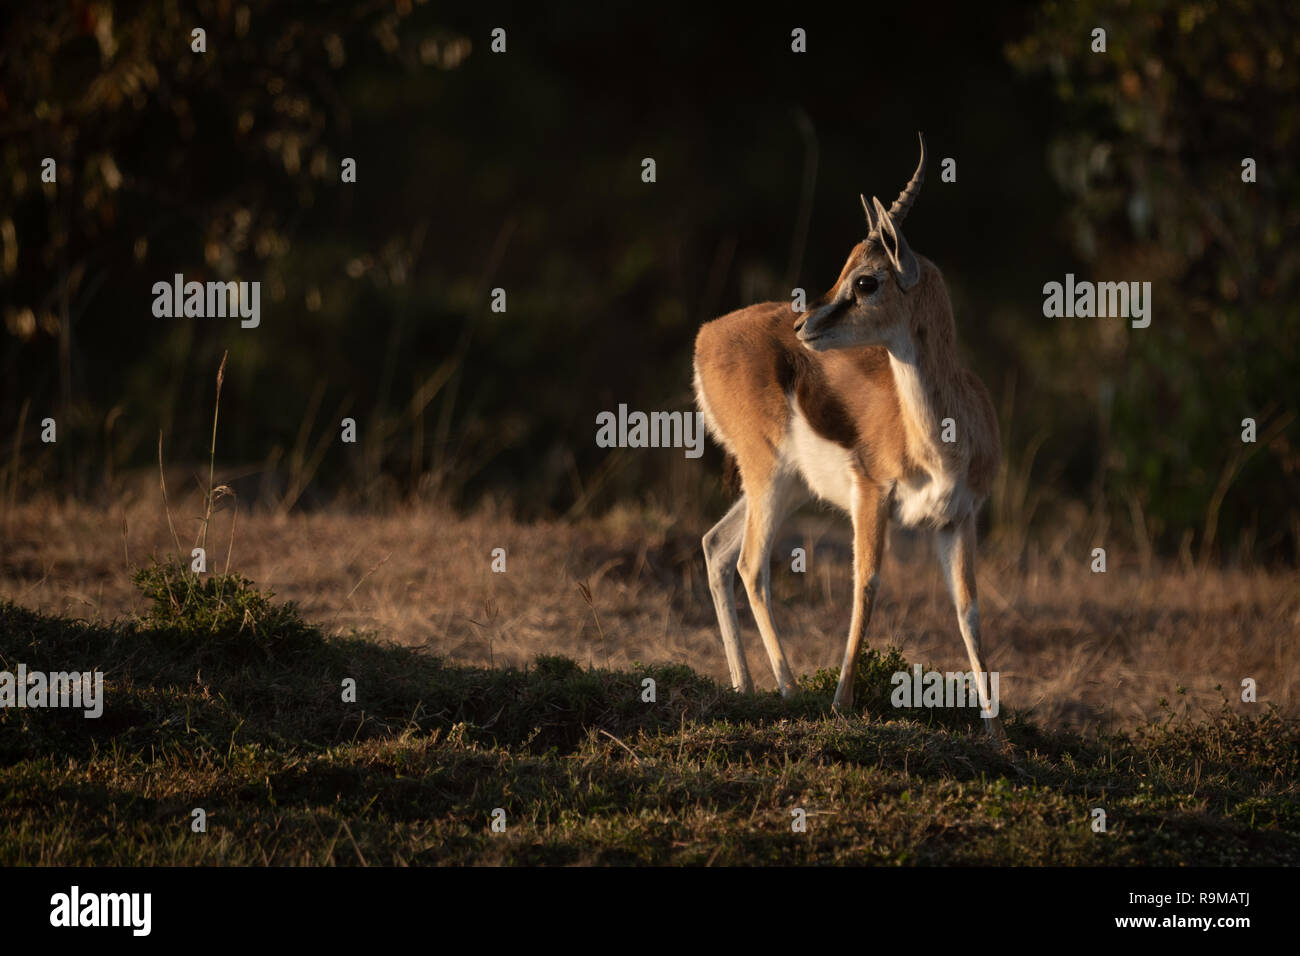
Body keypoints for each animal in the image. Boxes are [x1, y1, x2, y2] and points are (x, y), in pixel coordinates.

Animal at [693, 134, 1006, 741]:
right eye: (847, 271)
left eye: (866, 280)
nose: (803, 326)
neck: (940, 441)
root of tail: (705, 335)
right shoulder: (872, 494)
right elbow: (867, 585)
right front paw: (840, 705)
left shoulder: (958, 518)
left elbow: (969, 612)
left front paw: (998, 735)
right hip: (768, 476)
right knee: (750, 564)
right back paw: (790, 690)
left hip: (787, 485)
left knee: (717, 548)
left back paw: (745, 687)